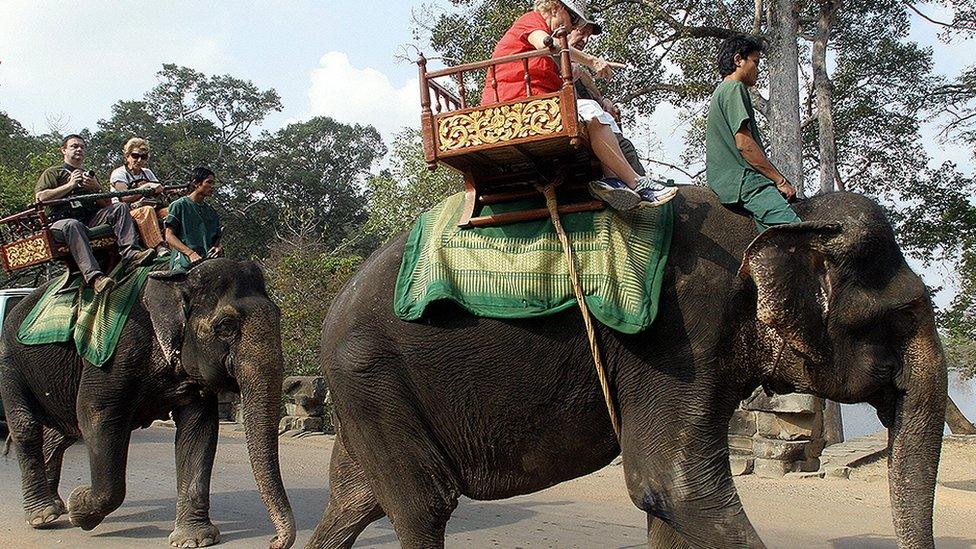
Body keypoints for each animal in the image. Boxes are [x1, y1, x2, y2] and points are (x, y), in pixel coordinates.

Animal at [0, 260, 296, 548]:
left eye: (279, 316)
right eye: (226, 326)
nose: (274, 541)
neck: (179, 279)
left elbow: (199, 429)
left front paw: (194, 540)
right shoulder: (113, 357)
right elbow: (95, 415)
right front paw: (78, 507)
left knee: (63, 432)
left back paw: (56, 507)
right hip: (9, 360)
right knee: (28, 427)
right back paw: (43, 515)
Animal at [304, 188, 944, 548]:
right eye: (902, 315)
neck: (791, 214)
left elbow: (669, 505)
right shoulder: (681, 334)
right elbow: (672, 485)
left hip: (368, 396)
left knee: (354, 503)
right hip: (371, 378)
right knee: (423, 506)